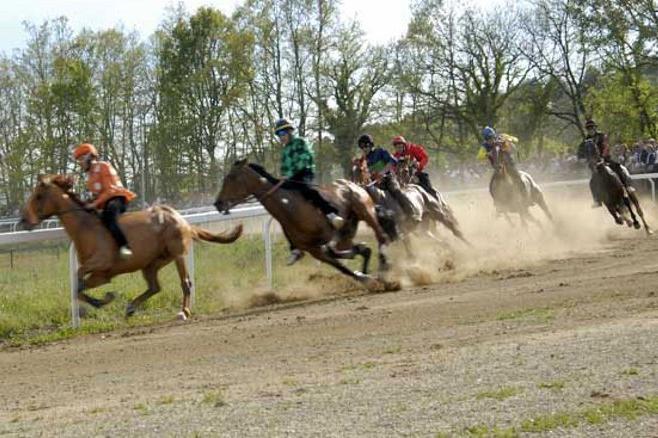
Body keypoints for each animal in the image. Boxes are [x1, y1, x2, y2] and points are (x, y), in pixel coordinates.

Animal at [20, 174, 242, 318]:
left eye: (38, 196)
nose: (24, 221)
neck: (86, 228)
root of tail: (183, 221)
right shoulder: (102, 275)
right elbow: (78, 287)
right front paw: (102, 300)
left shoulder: (100, 264)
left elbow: (78, 282)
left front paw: (103, 299)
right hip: (152, 263)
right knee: (154, 287)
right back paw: (131, 307)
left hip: (178, 253)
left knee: (185, 283)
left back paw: (184, 311)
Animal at [213, 159, 392, 290]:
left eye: (231, 177)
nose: (218, 203)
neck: (290, 207)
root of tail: (353, 184)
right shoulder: (313, 249)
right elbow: (342, 266)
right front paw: (365, 277)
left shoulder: (328, 235)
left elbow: (336, 253)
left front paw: (368, 277)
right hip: (347, 233)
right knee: (363, 249)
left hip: (366, 212)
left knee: (381, 236)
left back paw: (383, 268)